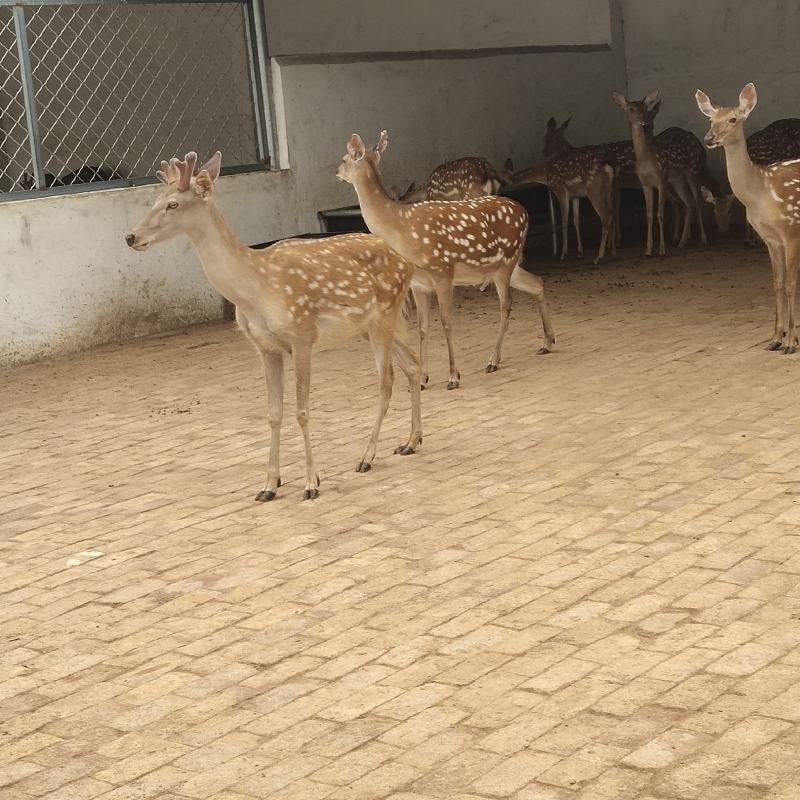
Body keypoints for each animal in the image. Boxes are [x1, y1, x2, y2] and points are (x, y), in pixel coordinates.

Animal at [126, 151, 423, 501]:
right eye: (154, 200)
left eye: (172, 204)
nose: (131, 237)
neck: (256, 290)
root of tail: (407, 261)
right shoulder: (265, 347)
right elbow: (273, 413)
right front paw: (269, 485)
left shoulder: (302, 334)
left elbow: (302, 411)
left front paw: (311, 484)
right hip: (369, 325)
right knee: (412, 364)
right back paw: (411, 441)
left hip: (386, 313)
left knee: (386, 381)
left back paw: (367, 456)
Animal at [337, 131, 555, 390]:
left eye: (345, 158)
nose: (337, 171)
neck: (400, 228)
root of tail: (525, 212)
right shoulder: (418, 284)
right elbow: (422, 328)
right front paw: (422, 379)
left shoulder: (442, 270)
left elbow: (447, 322)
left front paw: (453, 376)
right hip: (503, 266)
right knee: (537, 283)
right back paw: (547, 342)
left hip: (506, 262)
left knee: (506, 306)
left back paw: (493, 360)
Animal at [612, 90, 708, 255]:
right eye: (631, 109)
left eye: (645, 108)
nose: (643, 122)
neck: (645, 159)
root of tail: (698, 143)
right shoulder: (645, 184)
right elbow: (649, 214)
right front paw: (648, 250)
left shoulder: (661, 179)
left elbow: (660, 214)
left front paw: (662, 250)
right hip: (677, 179)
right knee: (688, 202)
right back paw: (682, 242)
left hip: (693, 170)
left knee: (697, 201)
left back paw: (703, 239)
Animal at [697, 84, 800, 354]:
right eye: (711, 119)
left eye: (733, 119)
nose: (709, 139)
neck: (760, 195)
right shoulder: (770, 238)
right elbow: (777, 283)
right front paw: (775, 338)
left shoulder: (791, 230)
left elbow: (790, 284)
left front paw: (791, 342)